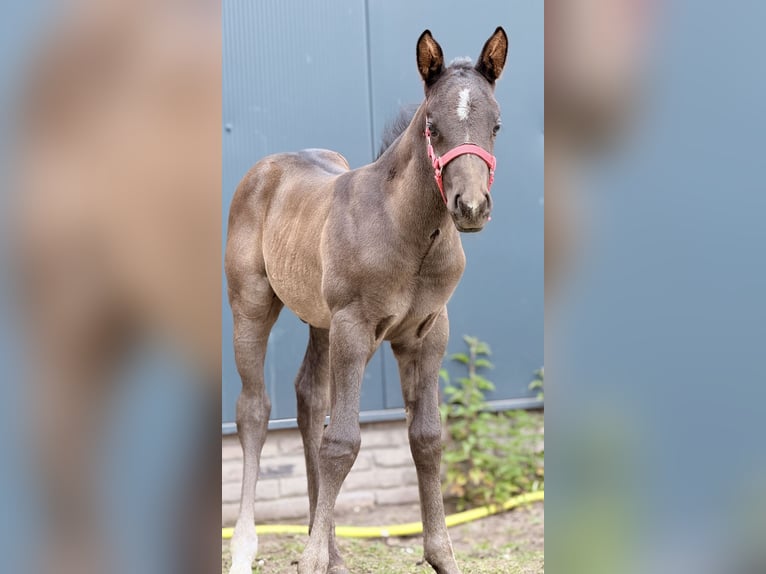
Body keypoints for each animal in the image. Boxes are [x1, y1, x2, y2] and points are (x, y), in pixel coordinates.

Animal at [225, 27, 508, 574]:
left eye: (496, 125)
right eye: (433, 126)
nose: (470, 207)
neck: (409, 233)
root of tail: (265, 168)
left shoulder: (428, 332)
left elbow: (426, 438)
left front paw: (441, 555)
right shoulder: (355, 326)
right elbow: (343, 442)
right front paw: (311, 560)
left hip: (320, 321)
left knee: (309, 400)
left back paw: (334, 548)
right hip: (251, 304)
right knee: (254, 410)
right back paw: (247, 549)